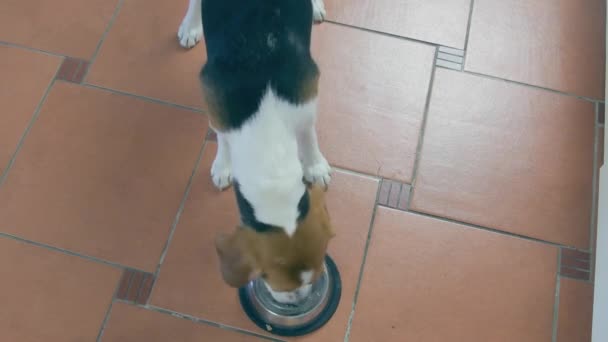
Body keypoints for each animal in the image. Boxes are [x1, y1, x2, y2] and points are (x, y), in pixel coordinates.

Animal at [178, 0, 334, 304]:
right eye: (264, 276)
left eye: (316, 275)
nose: (298, 300)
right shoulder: (217, 110)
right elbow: (222, 137)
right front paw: (223, 165)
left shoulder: (306, 100)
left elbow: (307, 131)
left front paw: (314, 164)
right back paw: (190, 26)